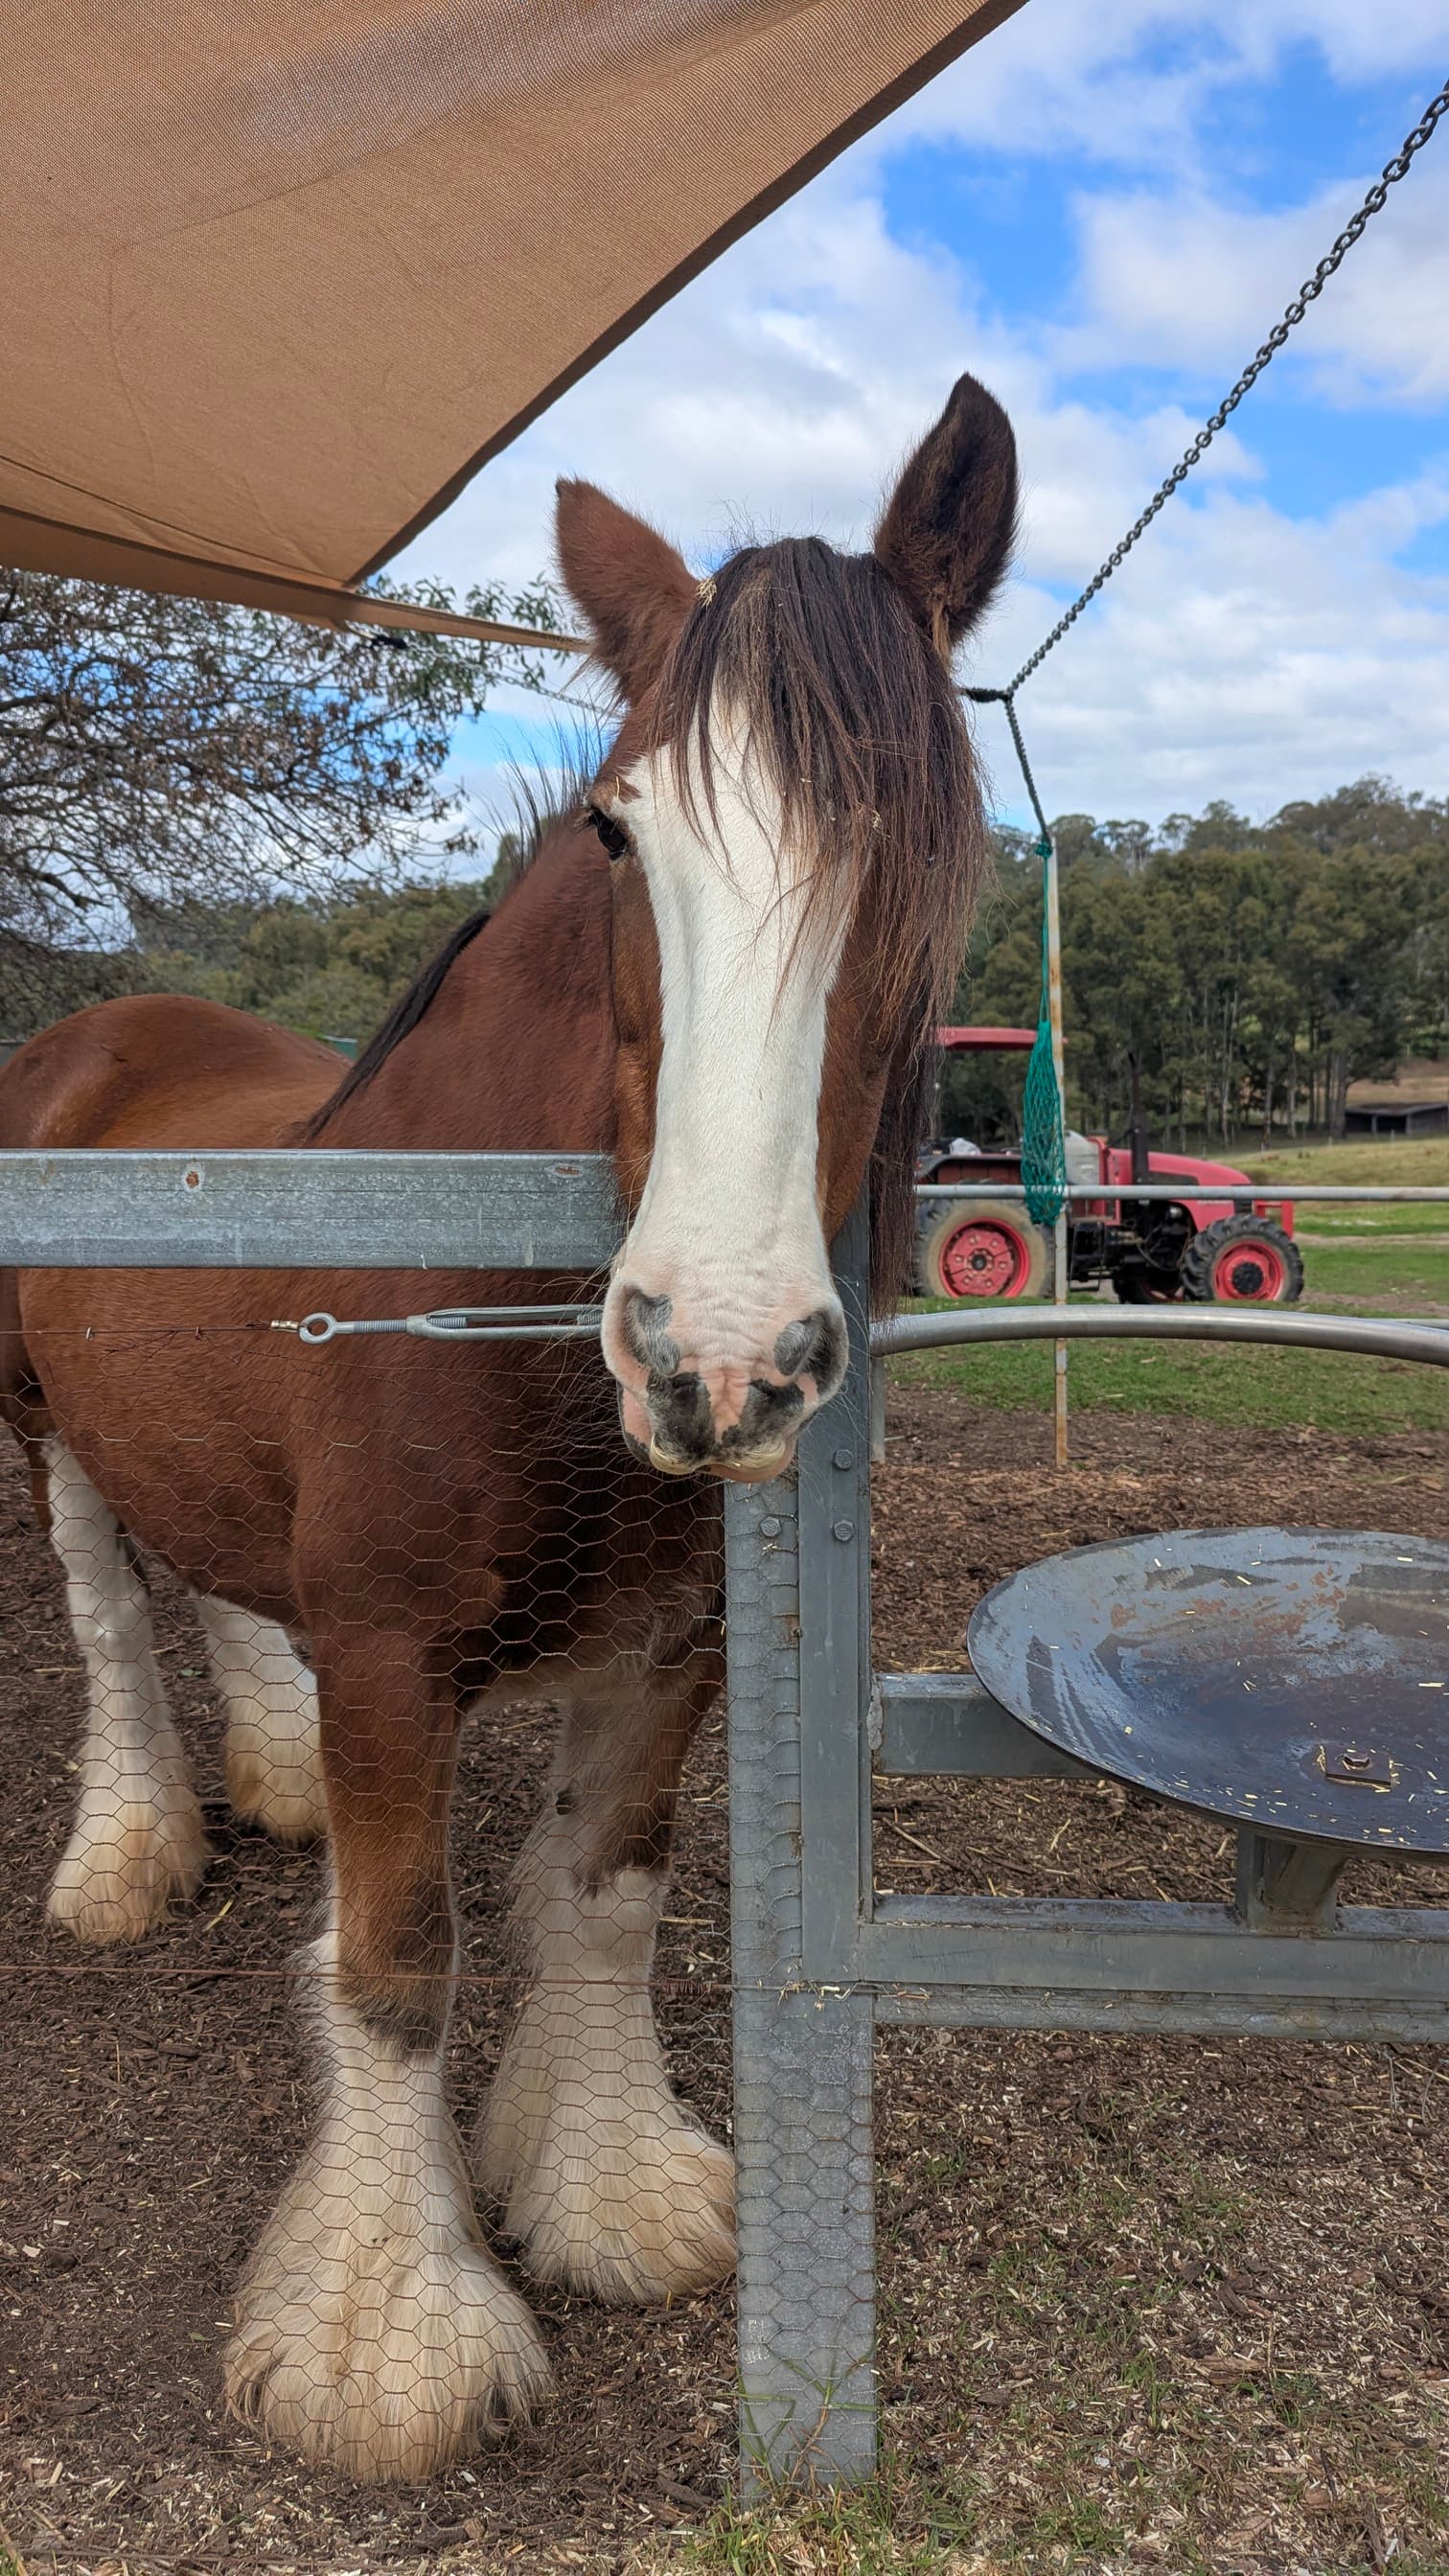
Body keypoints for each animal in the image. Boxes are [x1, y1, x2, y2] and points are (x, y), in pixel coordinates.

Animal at [0, 370, 1016, 2482]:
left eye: (922, 843)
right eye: (624, 835)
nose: (715, 1354)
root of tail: (103, 1029)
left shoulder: (675, 1644)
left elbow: (599, 1899)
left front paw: (604, 2186)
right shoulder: (393, 1657)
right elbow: (398, 1967)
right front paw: (388, 2337)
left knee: (213, 1580)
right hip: (38, 1427)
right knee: (113, 1615)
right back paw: (128, 1851)